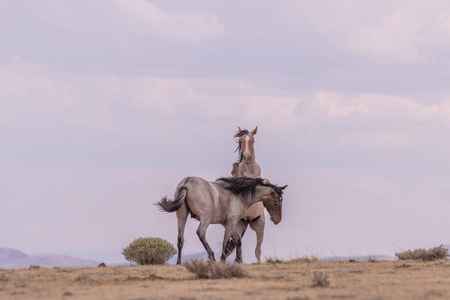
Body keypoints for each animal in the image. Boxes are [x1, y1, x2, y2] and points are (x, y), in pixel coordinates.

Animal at [156, 177, 286, 264]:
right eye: (276, 202)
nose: (277, 220)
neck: (238, 194)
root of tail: (186, 183)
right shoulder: (231, 222)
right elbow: (226, 241)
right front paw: (223, 261)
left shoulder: (226, 223)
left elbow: (237, 240)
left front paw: (238, 260)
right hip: (206, 218)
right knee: (200, 232)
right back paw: (212, 257)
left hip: (182, 216)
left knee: (180, 239)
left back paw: (179, 262)